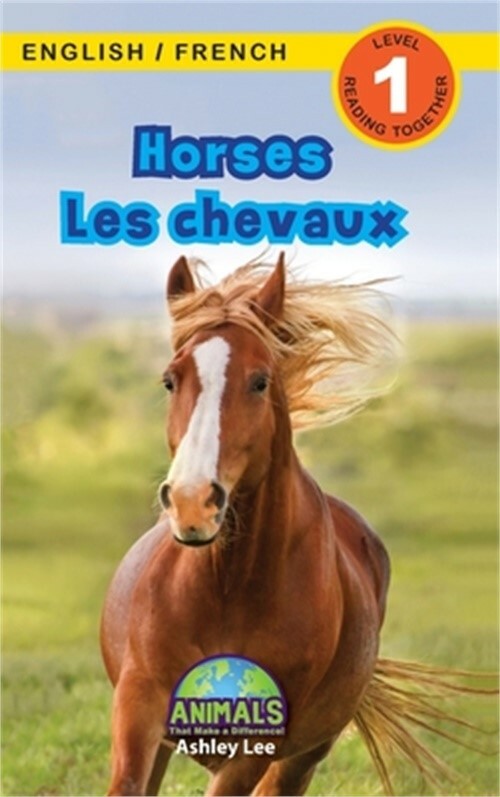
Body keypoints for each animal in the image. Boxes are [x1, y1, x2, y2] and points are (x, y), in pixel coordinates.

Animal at [100, 253, 493, 797]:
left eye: (260, 380)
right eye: (169, 380)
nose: (192, 503)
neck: (226, 590)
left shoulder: (253, 747)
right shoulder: (139, 708)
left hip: (302, 756)